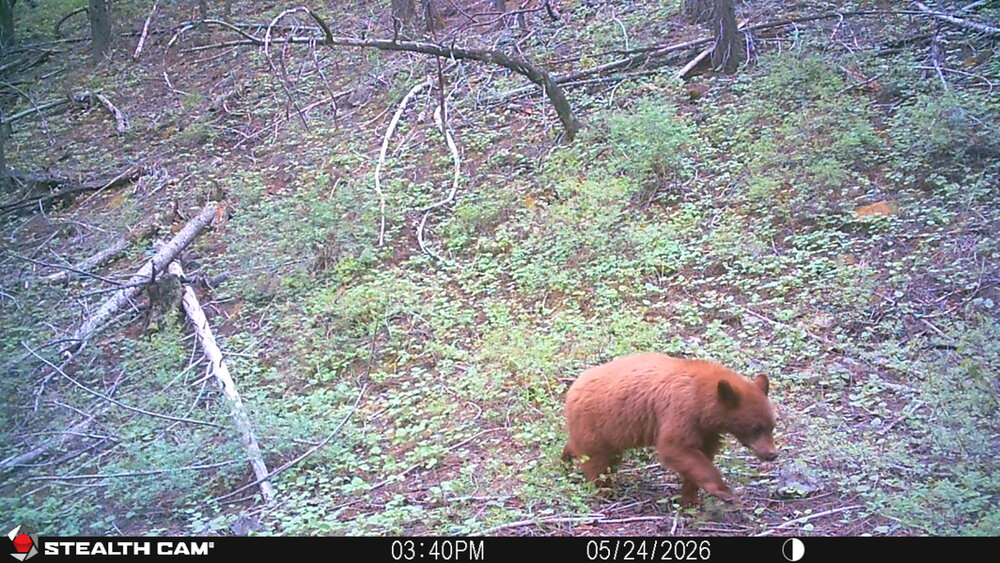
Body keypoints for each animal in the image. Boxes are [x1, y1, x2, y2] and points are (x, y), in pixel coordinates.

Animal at [562, 353, 778, 506]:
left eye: (772, 425)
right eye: (756, 427)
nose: (772, 454)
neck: (702, 397)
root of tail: (573, 387)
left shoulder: (706, 430)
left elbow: (701, 456)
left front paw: (689, 499)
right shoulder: (680, 411)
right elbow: (675, 447)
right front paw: (724, 491)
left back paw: (566, 459)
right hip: (597, 422)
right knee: (596, 461)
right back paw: (603, 491)